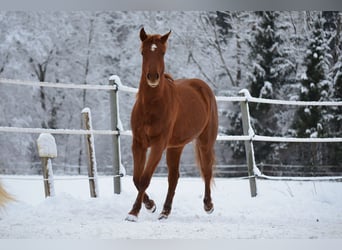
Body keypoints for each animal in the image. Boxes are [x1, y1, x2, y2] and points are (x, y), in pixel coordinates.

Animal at [126, 28, 219, 222]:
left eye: (162, 52)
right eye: (143, 52)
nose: (153, 77)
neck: (152, 105)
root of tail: (202, 86)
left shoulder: (158, 145)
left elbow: (145, 178)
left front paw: (134, 212)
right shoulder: (138, 144)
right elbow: (137, 178)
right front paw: (149, 205)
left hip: (205, 142)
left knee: (206, 171)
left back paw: (208, 205)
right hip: (176, 147)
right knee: (173, 177)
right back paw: (165, 211)